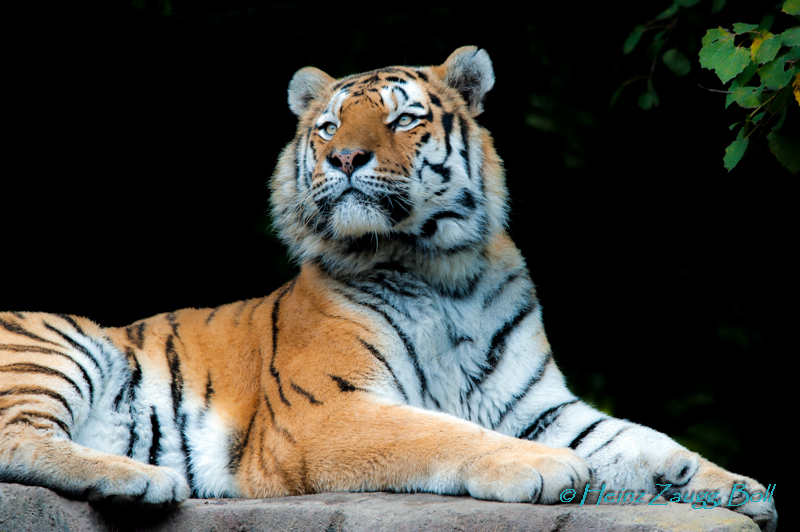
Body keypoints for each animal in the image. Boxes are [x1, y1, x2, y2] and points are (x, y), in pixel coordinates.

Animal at [0, 47, 776, 528]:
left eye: (404, 118)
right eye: (328, 126)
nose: (345, 157)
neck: (439, 271)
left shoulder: (539, 403)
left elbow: (643, 440)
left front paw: (731, 487)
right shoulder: (325, 411)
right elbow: (438, 432)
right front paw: (548, 467)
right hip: (62, 345)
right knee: (16, 438)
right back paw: (141, 478)